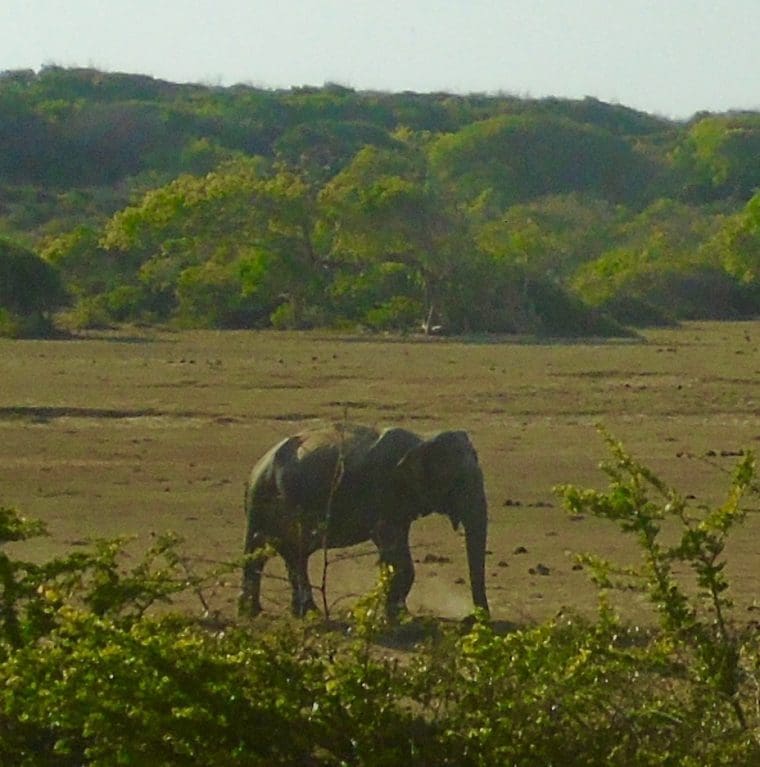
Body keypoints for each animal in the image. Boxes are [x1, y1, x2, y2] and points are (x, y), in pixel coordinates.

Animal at [238, 422, 490, 619]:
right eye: (458, 482)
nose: (473, 618)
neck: (422, 438)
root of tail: (258, 465)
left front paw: (397, 614)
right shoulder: (382, 491)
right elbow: (393, 549)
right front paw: (397, 617)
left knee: (295, 556)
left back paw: (305, 613)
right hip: (260, 500)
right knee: (259, 552)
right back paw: (251, 613)